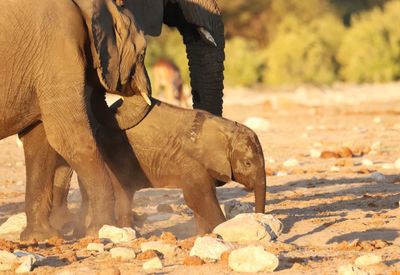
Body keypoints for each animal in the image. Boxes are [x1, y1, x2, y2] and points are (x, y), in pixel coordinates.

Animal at [0, 0, 150, 239]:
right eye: (143, 53)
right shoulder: (57, 48)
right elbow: (68, 137)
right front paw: (100, 231)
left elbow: (40, 140)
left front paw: (42, 237)